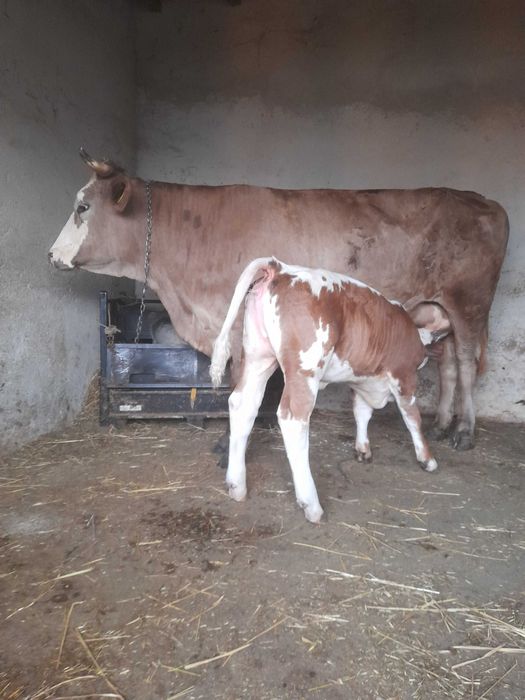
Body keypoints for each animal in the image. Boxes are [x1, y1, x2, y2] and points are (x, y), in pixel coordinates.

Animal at [48, 150, 509, 449]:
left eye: (83, 206)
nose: (52, 255)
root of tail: (483, 200)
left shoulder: (235, 321)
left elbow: (238, 384)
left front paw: (230, 441)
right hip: (441, 310)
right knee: (448, 365)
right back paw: (443, 424)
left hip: (470, 303)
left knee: (465, 364)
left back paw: (464, 431)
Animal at [210, 258, 451, 523]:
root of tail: (279, 267)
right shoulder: (404, 377)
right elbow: (412, 419)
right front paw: (427, 459)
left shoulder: (360, 380)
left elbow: (362, 413)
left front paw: (363, 448)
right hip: (305, 370)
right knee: (293, 420)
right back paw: (311, 505)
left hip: (258, 357)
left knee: (242, 406)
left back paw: (236, 486)